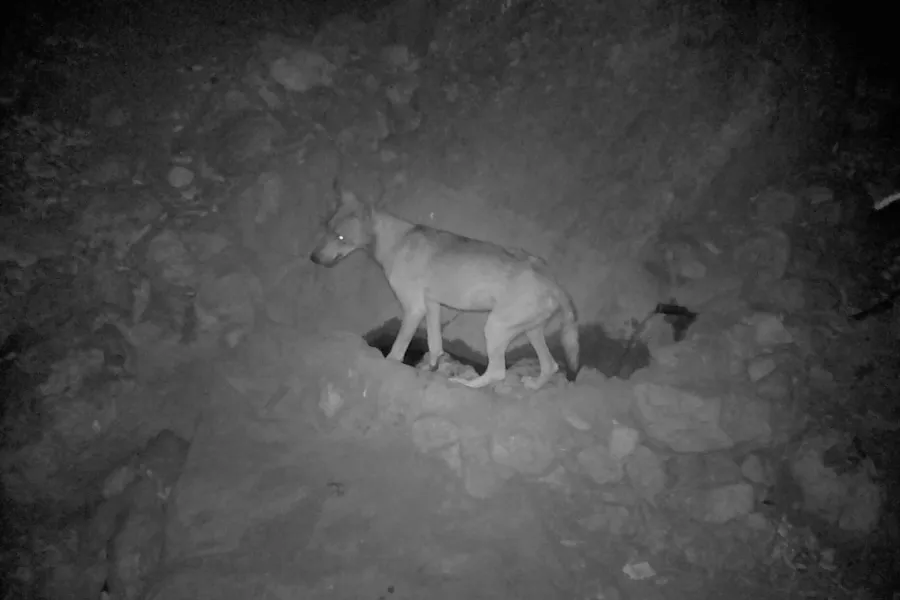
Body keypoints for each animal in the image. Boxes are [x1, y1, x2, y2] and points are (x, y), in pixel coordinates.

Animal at [310, 187, 580, 390]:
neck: (396, 242)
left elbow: (397, 351)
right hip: (530, 331)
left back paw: (464, 384)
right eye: (326, 229)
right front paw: (432, 367)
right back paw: (533, 385)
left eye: (340, 238)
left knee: (497, 372)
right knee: (551, 366)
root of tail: (555, 283)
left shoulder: (414, 308)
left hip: (495, 328)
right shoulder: (431, 305)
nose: (312, 258)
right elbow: (434, 345)